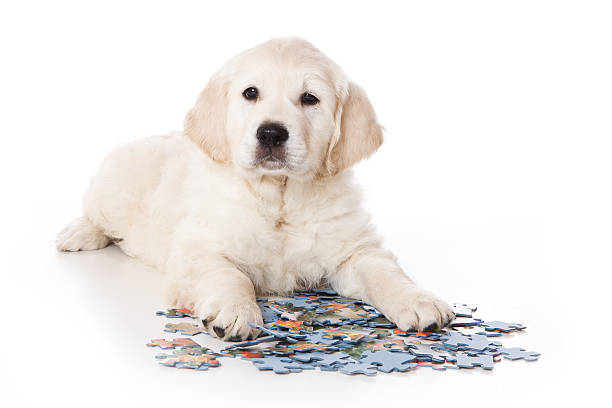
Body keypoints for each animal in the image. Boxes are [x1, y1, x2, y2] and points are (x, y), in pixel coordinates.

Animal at [56, 37, 454, 342]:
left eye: (310, 98)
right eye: (251, 93)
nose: (272, 133)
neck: (280, 197)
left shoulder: (353, 250)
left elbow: (384, 272)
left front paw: (419, 301)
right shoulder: (197, 250)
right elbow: (230, 275)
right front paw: (234, 312)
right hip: (113, 186)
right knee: (94, 212)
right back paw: (78, 233)